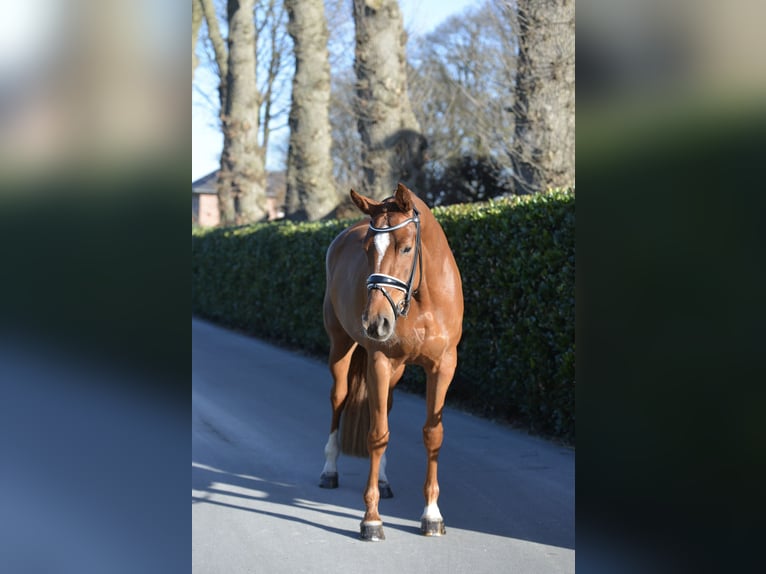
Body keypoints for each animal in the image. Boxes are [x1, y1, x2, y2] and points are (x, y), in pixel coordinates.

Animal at [318, 182, 464, 541]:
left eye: (407, 247)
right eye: (368, 249)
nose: (375, 322)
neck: (424, 301)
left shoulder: (443, 367)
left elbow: (432, 435)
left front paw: (432, 515)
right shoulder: (380, 362)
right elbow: (377, 433)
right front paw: (371, 520)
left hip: (396, 371)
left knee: (385, 406)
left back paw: (383, 481)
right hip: (341, 348)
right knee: (339, 400)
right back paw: (329, 470)